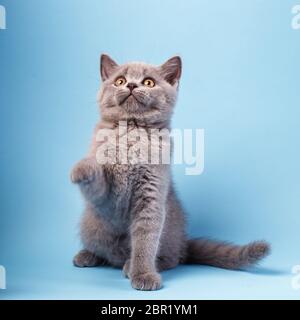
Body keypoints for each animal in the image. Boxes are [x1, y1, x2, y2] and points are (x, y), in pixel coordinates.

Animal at [71, 54, 270, 290]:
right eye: (120, 81)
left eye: (148, 82)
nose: (131, 85)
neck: (132, 132)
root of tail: (184, 242)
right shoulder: (107, 198)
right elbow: (97, 183)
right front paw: (81, 169)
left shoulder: (151, 195)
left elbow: (145, 240)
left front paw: (143, 275)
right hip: (90, 225)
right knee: (104, 250)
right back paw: (88, 255)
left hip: (169, 234)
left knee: (172, 258)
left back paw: (130, 265)